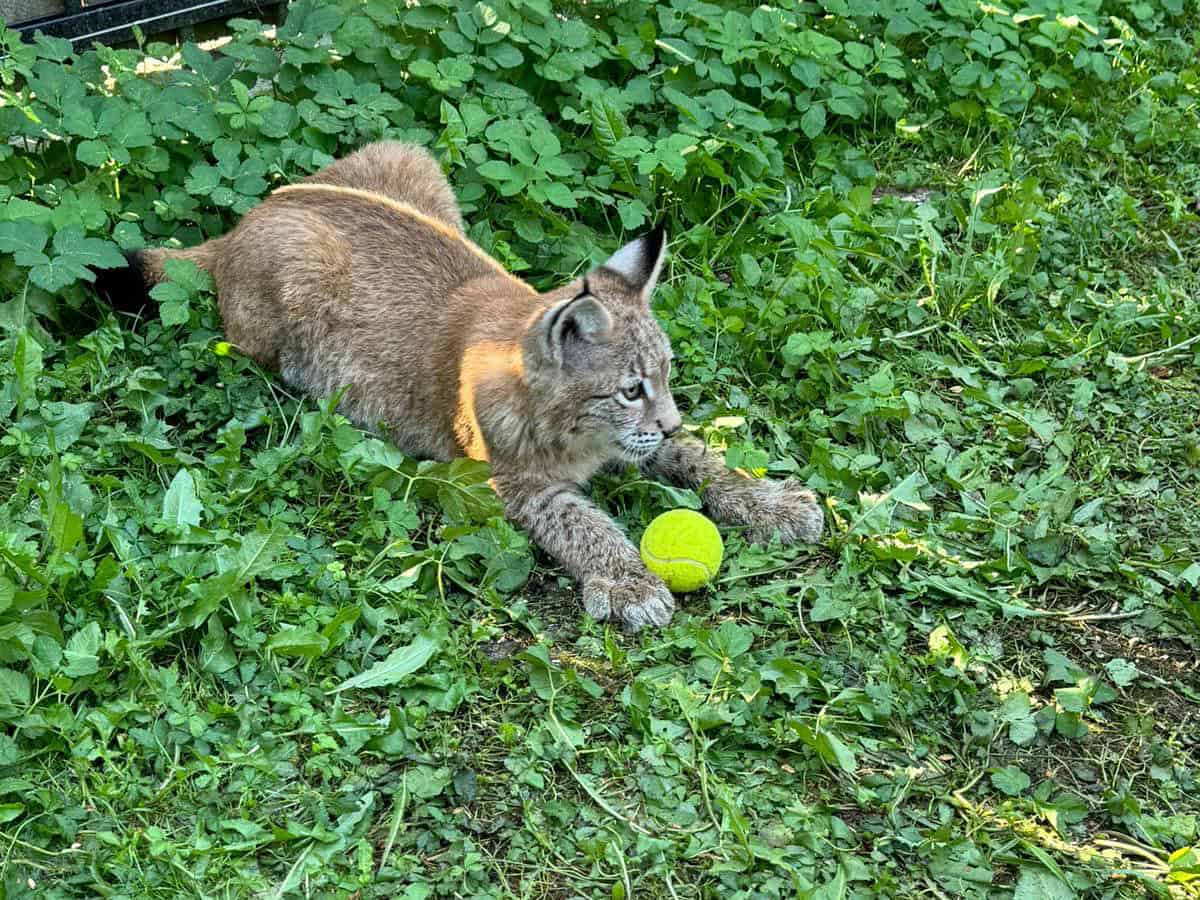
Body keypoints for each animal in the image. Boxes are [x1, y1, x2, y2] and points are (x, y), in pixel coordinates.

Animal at [105, 142, 825, 633]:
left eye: (668, 376)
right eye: (629, 390)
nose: (670, 419)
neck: (576, 431)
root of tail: (252, 215)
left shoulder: (635, 445)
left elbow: (700, 458)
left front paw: (770, 503)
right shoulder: (515, 484)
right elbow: (583, 522)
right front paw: (628, 583)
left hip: (407, 155)